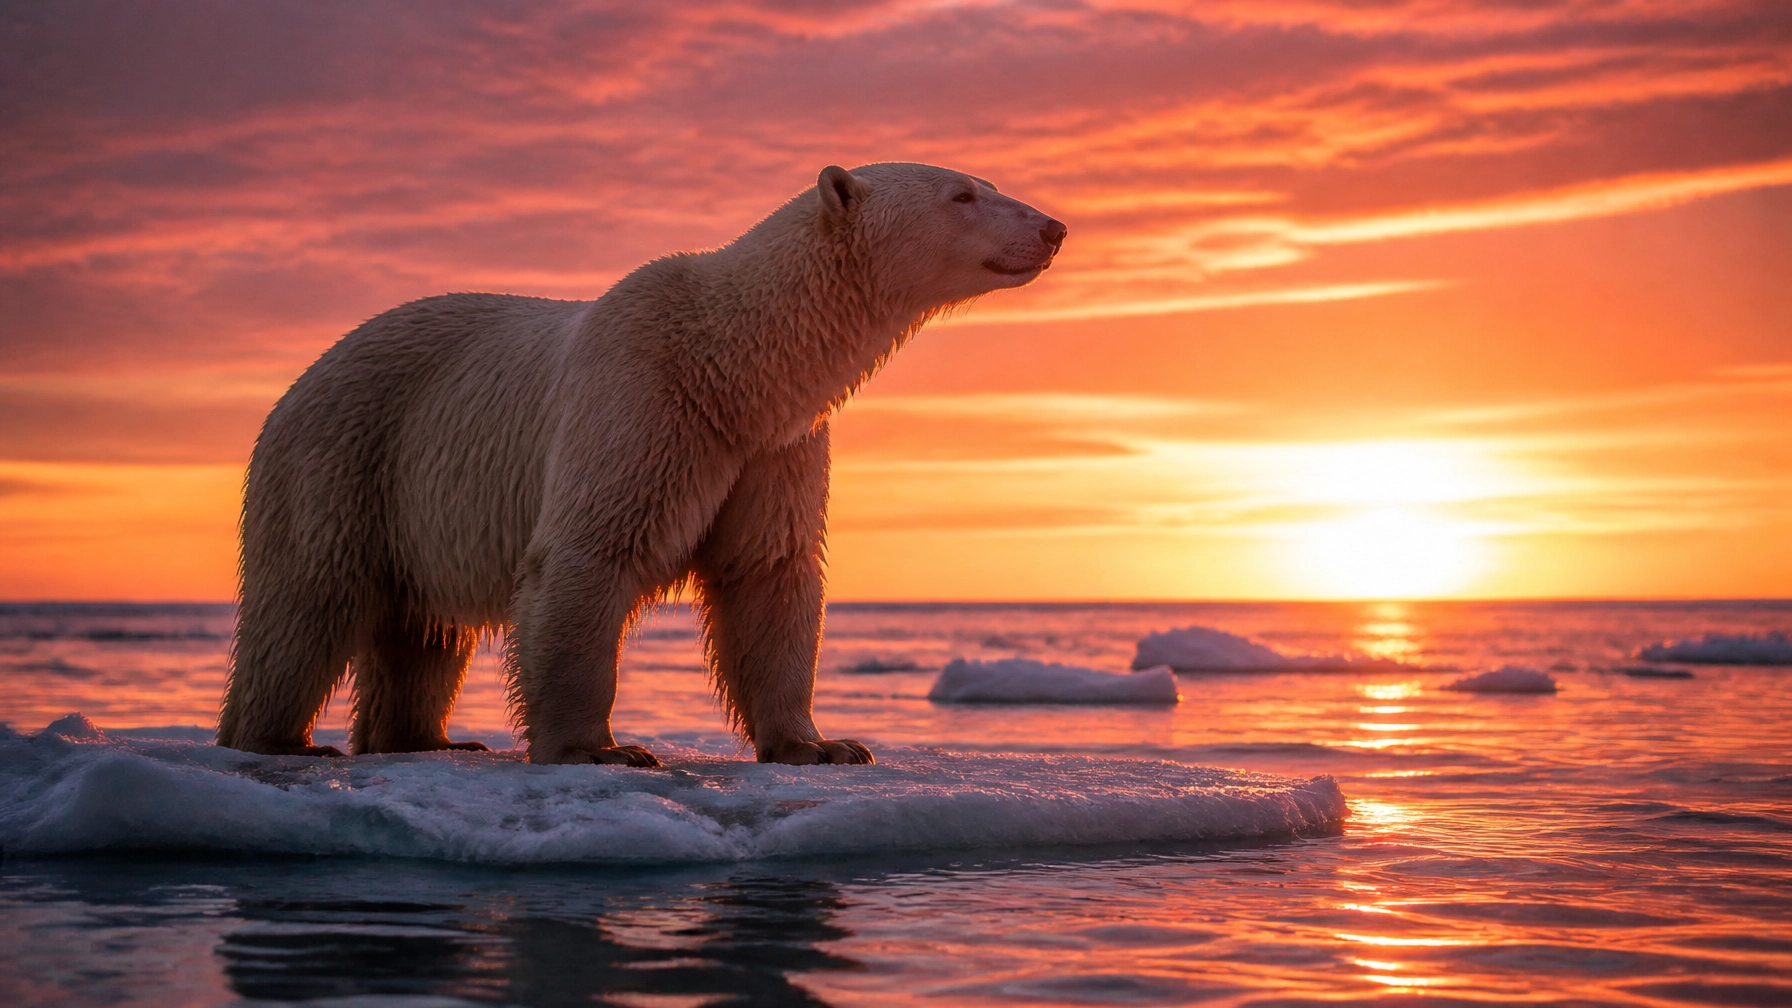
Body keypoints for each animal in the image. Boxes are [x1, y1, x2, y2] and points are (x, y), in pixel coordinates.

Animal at [215, 162, 1066, 767]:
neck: (733, 366)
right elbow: (589, 554)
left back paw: (426, 737)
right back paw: (275, 737)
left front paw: (822, 745)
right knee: (306, 601)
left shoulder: (774, 449)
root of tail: (300, 381)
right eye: (963, 194)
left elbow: (771, 576)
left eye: (987, 183)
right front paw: (600, 749)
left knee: (422, 630)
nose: (1055, 226)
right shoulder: (642, 405)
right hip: (345, 457)